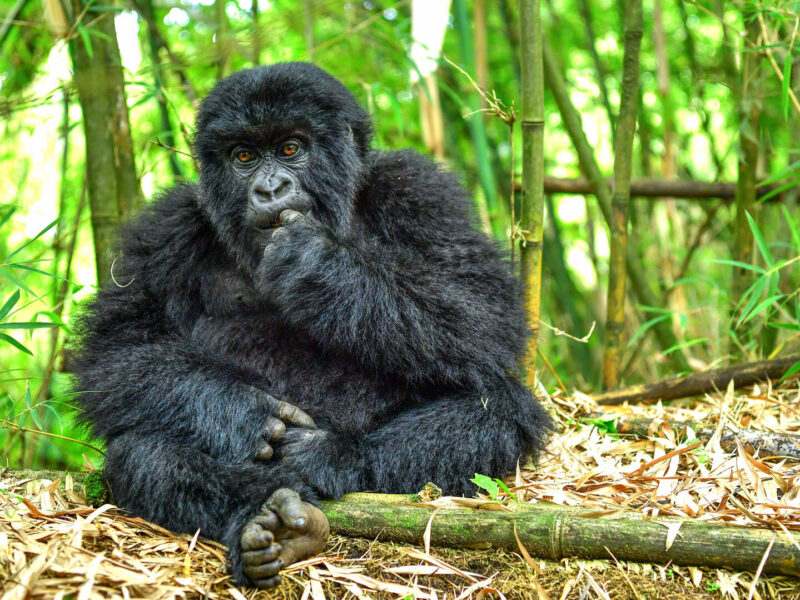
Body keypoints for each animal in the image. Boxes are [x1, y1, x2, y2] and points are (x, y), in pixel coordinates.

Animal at [73, 63, 552, 588]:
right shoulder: (167, 227)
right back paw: (267, 519)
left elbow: (487, 313)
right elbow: (118, 351)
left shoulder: (419, 190)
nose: (269, 190)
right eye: (243, 156)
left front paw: (315, 265)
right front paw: (241, 413)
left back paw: (336, 455)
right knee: (139, 450)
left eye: (289, 149)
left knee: (502, 408)